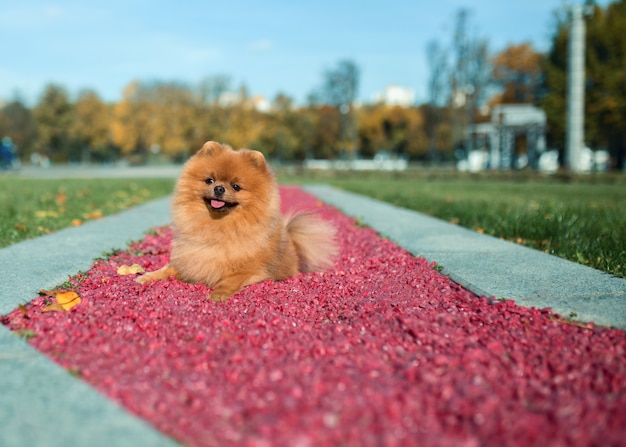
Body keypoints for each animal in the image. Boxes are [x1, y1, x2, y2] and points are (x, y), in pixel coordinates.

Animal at [136, 141, 336, 300]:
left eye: (236, 186)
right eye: (209, 180)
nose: (219, 188)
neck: (218, 225)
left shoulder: (250, 271)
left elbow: (230, 280)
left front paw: (218, 294)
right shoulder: (189, 259)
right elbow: (166, 269)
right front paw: (146, 276)